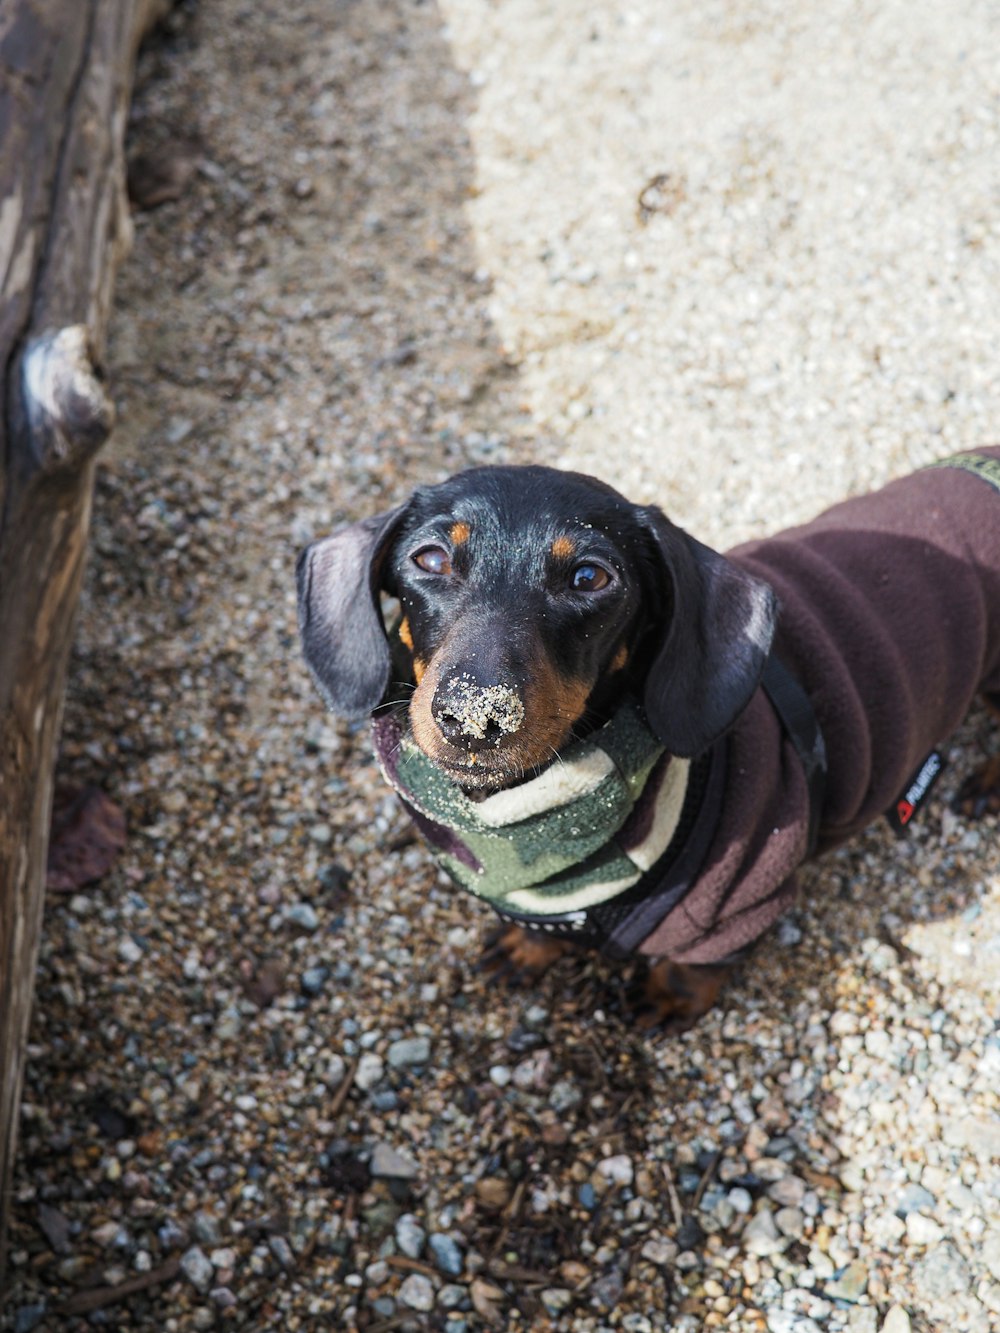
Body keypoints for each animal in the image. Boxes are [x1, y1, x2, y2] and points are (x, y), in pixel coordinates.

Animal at [296, 453, 1000, 1023]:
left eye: (589, 577)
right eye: (431, 559)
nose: (475, 715)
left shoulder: (747, 893)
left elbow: (700, 964)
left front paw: (671, 995)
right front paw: (529, 946)